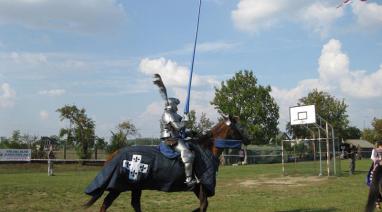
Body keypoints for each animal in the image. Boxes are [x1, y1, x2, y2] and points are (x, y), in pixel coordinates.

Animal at [84, 116, 248, 212]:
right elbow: (203, 205)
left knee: (134, 203)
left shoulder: (198, 187)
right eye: (239, 127)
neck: (206, 148)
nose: (248, 139)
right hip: (119, 186)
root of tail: (115, 153)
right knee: (106, 203)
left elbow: (203, 205)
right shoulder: (201, 185)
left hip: (136, 185)